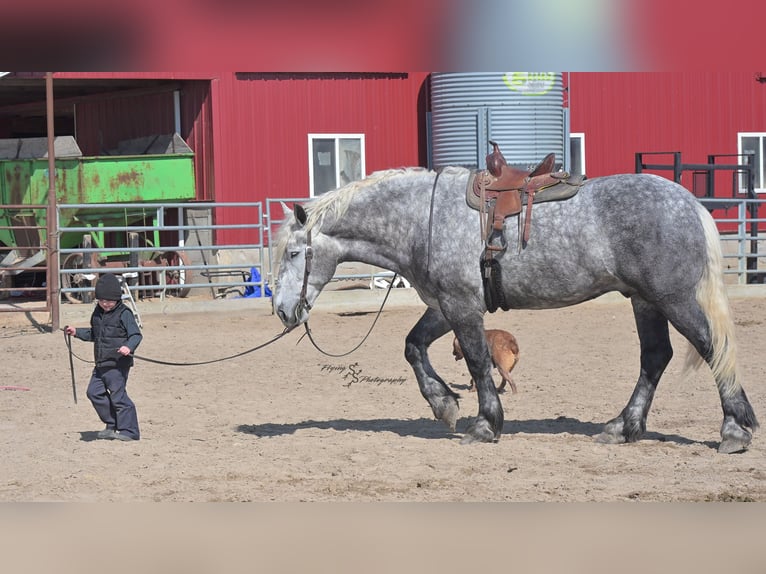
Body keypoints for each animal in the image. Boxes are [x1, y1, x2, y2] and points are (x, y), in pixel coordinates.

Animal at [272, 166, 758, 453]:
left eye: (294, 253)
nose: (281, 310)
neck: (421, 219)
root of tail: (689, 203)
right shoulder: (445, 303)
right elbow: (413, 347)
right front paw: (443, 404)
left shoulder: (462, 306)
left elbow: (477, 361)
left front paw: (485, 424)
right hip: (644, 301)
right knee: (655, 358)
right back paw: (624, 427)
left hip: (672, 298)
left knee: (711, 348)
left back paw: (734, 430)